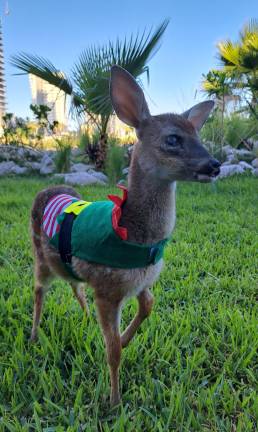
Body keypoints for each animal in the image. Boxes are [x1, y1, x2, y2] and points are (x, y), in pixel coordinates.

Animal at [29, 64, 220, 404]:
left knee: (73, 284)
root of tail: (48, 189)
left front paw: (128, 338)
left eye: (198, 135)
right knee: (39, 290)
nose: (215, 164)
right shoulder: (108, 288)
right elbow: (113, 350)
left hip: (64, 263)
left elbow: (149, 305)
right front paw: (114, 401)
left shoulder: (138, 279)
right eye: (173, 139)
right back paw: (35, 335)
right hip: (40, 255)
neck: (136, 235)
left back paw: (84, 316)